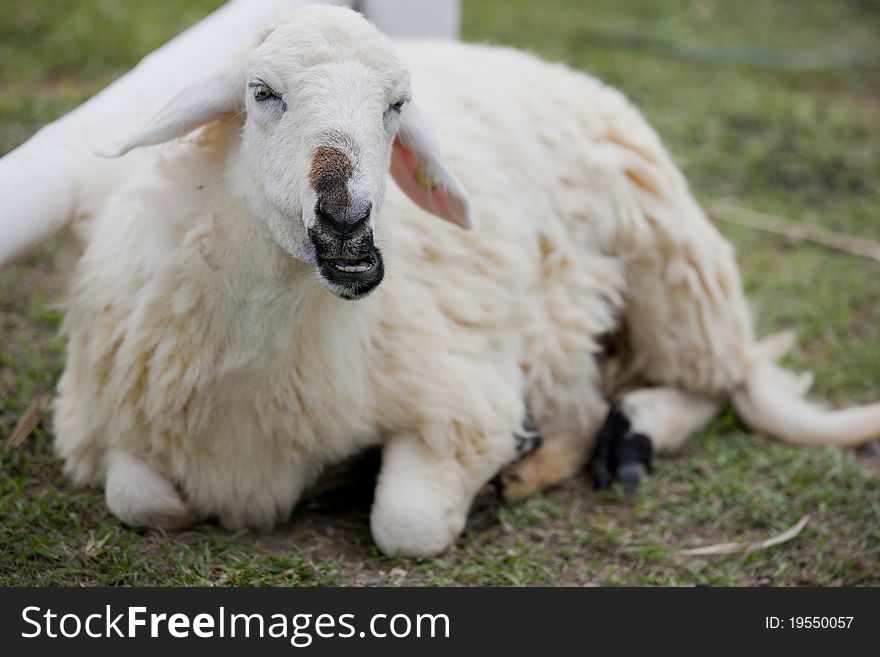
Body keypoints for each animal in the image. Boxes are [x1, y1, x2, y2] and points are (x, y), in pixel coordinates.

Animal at [49, 7, 880, 556]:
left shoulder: (463, 396)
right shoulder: (103, 417)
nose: (346, 216)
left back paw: (624, 438)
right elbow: (140, 497)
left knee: (716, 380)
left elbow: (406, 526)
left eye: (397, 106)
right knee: (595, 401)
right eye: (262, 92)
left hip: (671, 268)